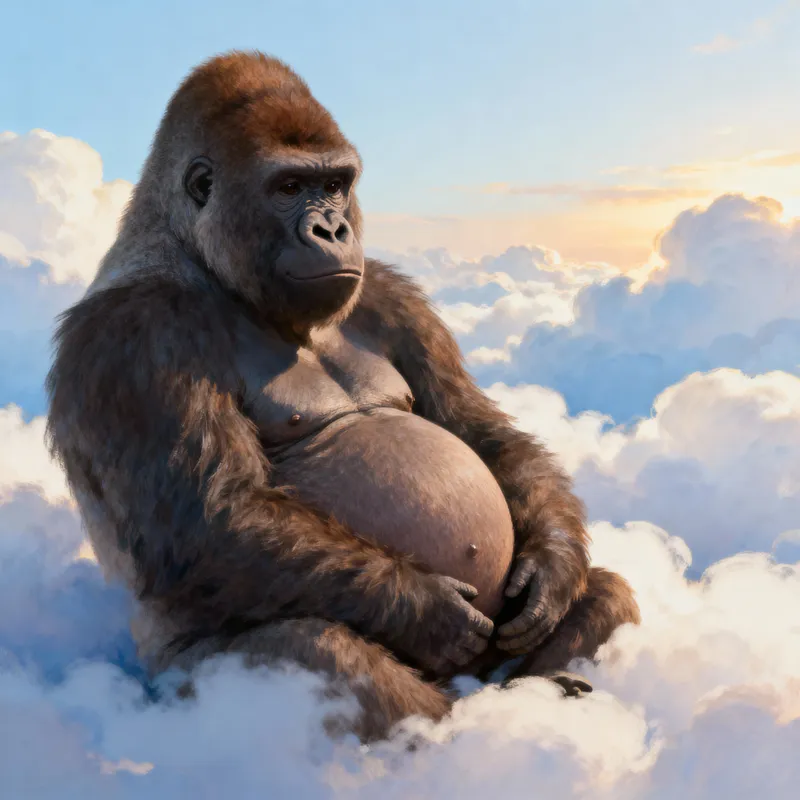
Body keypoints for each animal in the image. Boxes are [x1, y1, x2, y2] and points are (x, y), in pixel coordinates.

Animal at [46, 51, 640, 742]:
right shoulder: (134, 334)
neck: (196, 250)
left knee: (610, 597)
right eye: (287, 188)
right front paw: (425, 610)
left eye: (335, 183)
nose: (331, 228)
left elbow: (477, 432)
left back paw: (535, 684)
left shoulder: (392, 295)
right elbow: (208, 523)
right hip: (174, 690)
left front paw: (550, 566)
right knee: (316, 648)